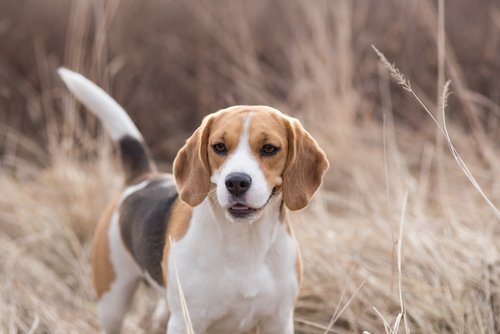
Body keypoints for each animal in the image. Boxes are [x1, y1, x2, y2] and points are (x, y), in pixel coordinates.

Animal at [57, 68, 328, 334]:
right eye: (219, 147)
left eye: (269, 148)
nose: (236, 182)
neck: (245, 241)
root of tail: (144, 177)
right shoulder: (186, 321)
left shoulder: (279, 320)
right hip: (112, 299)